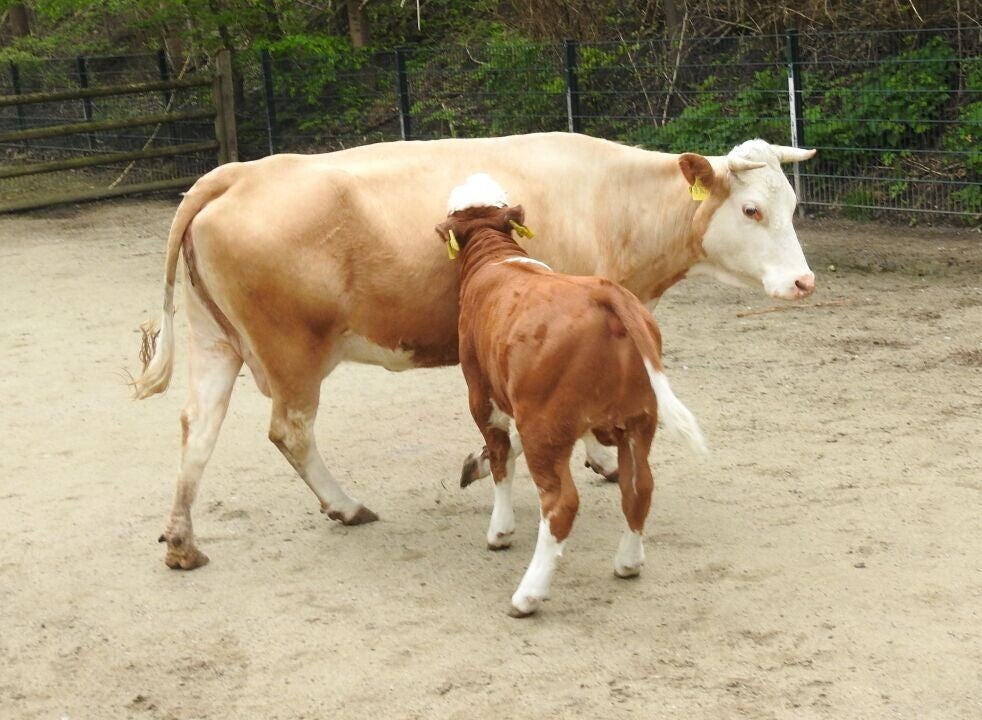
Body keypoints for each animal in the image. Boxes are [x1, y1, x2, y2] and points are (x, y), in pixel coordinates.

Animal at [132, 132, 815, 570]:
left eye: (792, 205)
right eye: (752, 210)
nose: (803, 282)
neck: (607, 201)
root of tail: (240, 171)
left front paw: (592, 458)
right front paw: (505, 461)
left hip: (215, 341)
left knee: (198, 429)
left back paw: (182, 541)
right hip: (293, 354)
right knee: (290, 431)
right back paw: (345, 506)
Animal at [438, 173, 707, 616]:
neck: (496, 258)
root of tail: (604, 292)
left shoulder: (482, 395)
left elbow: (500, 457)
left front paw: (500, 529)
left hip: (544, 428)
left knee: (560, 504)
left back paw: (528, 593)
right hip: (639, 420)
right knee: (640, 487)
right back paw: (628, 561)